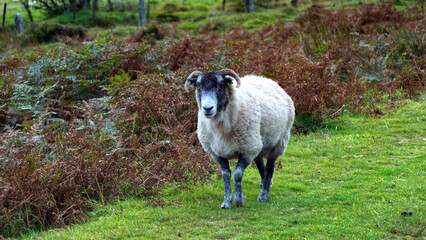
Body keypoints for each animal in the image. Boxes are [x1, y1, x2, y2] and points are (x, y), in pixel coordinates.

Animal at [185, 69, 294, 208]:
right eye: (198, 87)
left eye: (221, 86)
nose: (207, 108)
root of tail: (266, 79)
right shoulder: (217, 153)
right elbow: (226, 175)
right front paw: (227, 202)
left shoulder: (246, 150)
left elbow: (237, 174)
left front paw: (238, 199)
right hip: (258, 142)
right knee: (260, 162)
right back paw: (265, 183)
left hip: (277, 142)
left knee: (270, 165)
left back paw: (264, 194)